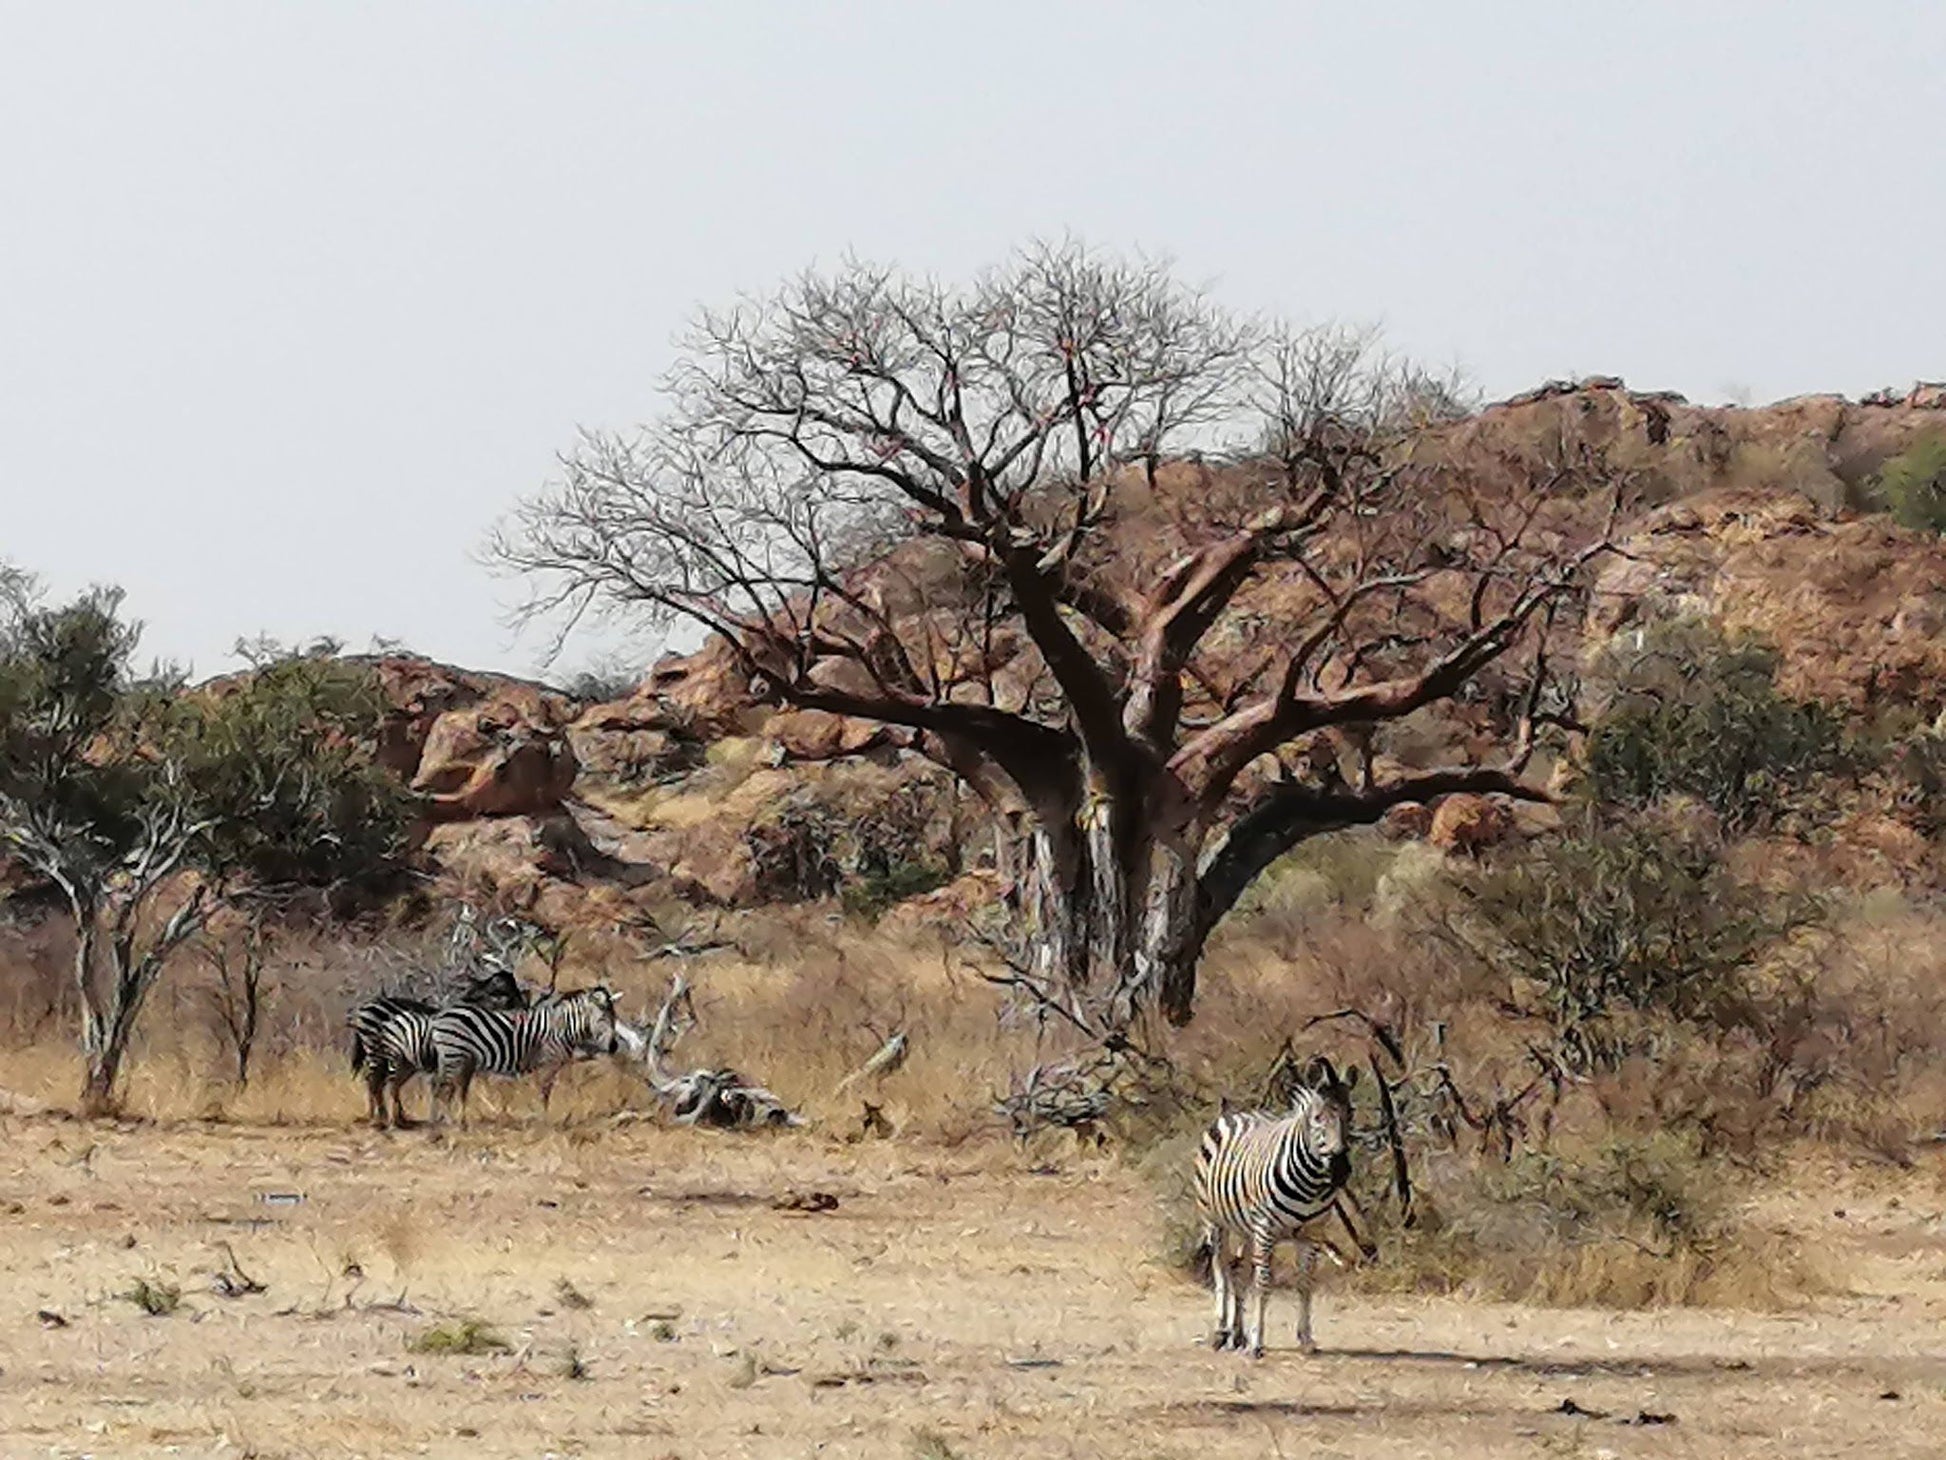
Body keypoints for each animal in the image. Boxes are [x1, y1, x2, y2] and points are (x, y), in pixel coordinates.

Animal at [342, 965, 525, 1136]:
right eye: (507, 992)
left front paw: (444, 1120)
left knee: (381, 1082)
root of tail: (365, 1006)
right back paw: (381, 1120)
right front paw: (447, 1120)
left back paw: (390, 1119)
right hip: (376, 1050)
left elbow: (451, 1090)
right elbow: (447, 1090)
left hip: (398, 1060)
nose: (524, 1006)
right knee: (374, 1081)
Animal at [430, 988, 618, 1129]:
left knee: (451, 1088)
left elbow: (546, 1090)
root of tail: (439, 1016)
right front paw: (545, 1121)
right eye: (603, 1018)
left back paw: (457, 1123)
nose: (614, 1047)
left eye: (614, 1018)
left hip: (460, 1058)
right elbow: (545, 1092)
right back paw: (450, 1123)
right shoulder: (549, 1062)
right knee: (442, 1089)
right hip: (454, 1054)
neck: (563, 1029)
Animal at [1190, 1066, 1377, 1362]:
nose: (1340, 1169)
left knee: (1239, 1272)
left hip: (1246, 1228)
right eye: (1317, 1117)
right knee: (1221, 1268)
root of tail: (1237, 1114)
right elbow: (1264, 1282)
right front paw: (1257, 1343)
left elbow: (1305, 1283)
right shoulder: (1266, 1229)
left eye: (1351, 1112)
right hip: (1213, 1218)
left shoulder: (1312, 1234)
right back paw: (1221, 1332)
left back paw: (1237, 1334)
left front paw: (1306, 1340)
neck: (1311, 1184)